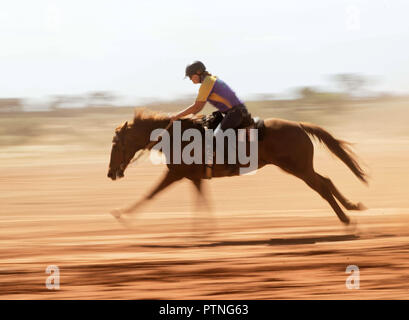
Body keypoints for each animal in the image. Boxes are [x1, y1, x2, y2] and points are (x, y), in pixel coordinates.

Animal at [107, 109, 366, 226]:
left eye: (116, 144)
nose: (110, 173)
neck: (176, 136)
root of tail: (299, 126)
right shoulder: (194, 178)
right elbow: (203, 201)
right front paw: (205, 232)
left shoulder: (174, 174)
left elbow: (151, 193)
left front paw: (122, 214)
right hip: (301, 167)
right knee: (326, 180)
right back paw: (352, 206)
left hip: (298, 169)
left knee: (321, 186)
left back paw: (346, 219)